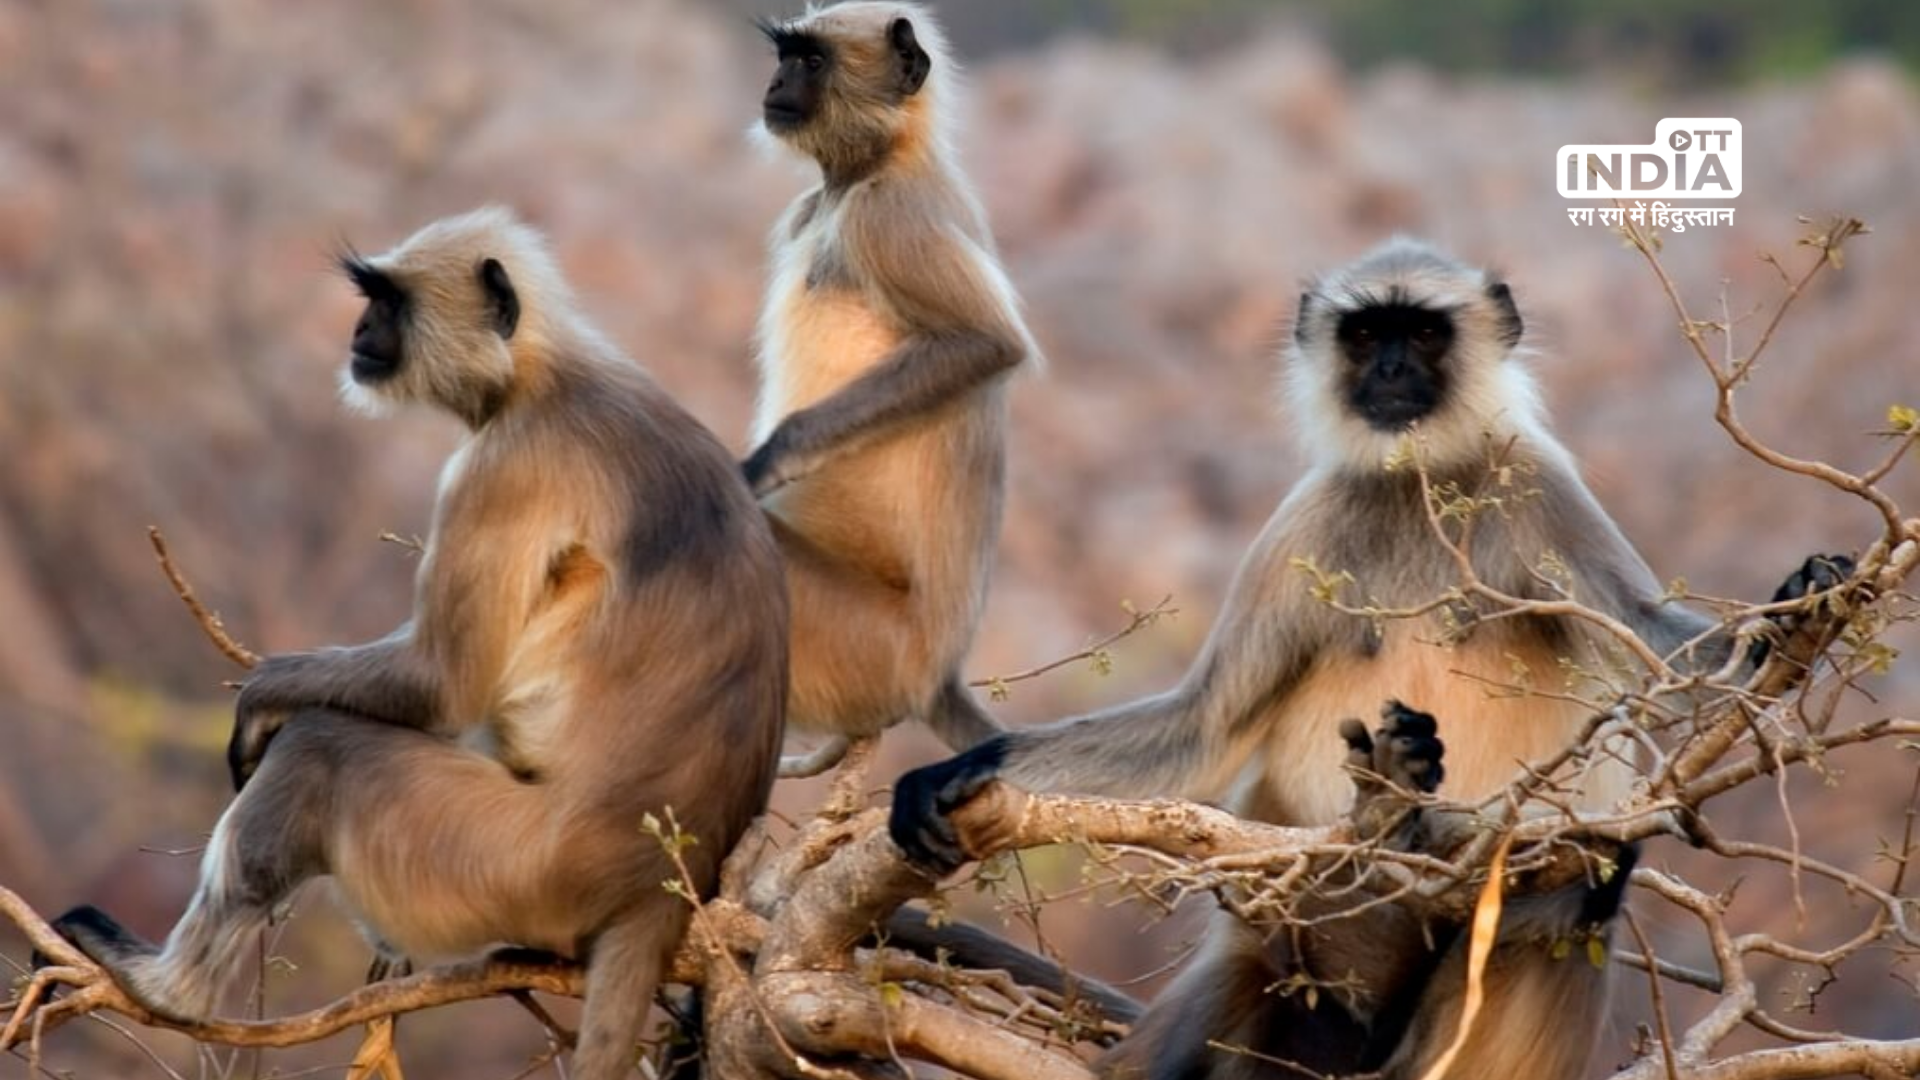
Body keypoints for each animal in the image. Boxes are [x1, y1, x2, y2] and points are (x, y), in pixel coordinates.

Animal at [45, 208, 789, 1080]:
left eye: (387, 303)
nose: (359, 332)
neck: (539, 375)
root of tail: (653, 887)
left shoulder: (504, 466)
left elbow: (442, 685)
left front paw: (264, 697)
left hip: (507, 862)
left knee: (324, 749)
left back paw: (170, 990)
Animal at [747, 1, 1039, 774]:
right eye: (785, 57)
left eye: (812, 62)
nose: (775, 85)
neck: (873, 169)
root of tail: (937, 673)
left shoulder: (888, 218)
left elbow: (987, 342)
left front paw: (760, 466)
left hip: (862, 645)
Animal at [891, 239, 1854, 1078]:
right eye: (1363, 335)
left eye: (1422, 333)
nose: (1388, 372)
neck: (1413, 480)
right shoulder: (1304, 525)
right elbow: (1201, 727)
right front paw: (957, 773)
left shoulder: (1539, 487)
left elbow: (1666, 664)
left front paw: (1800, 600)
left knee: (1589, 879)